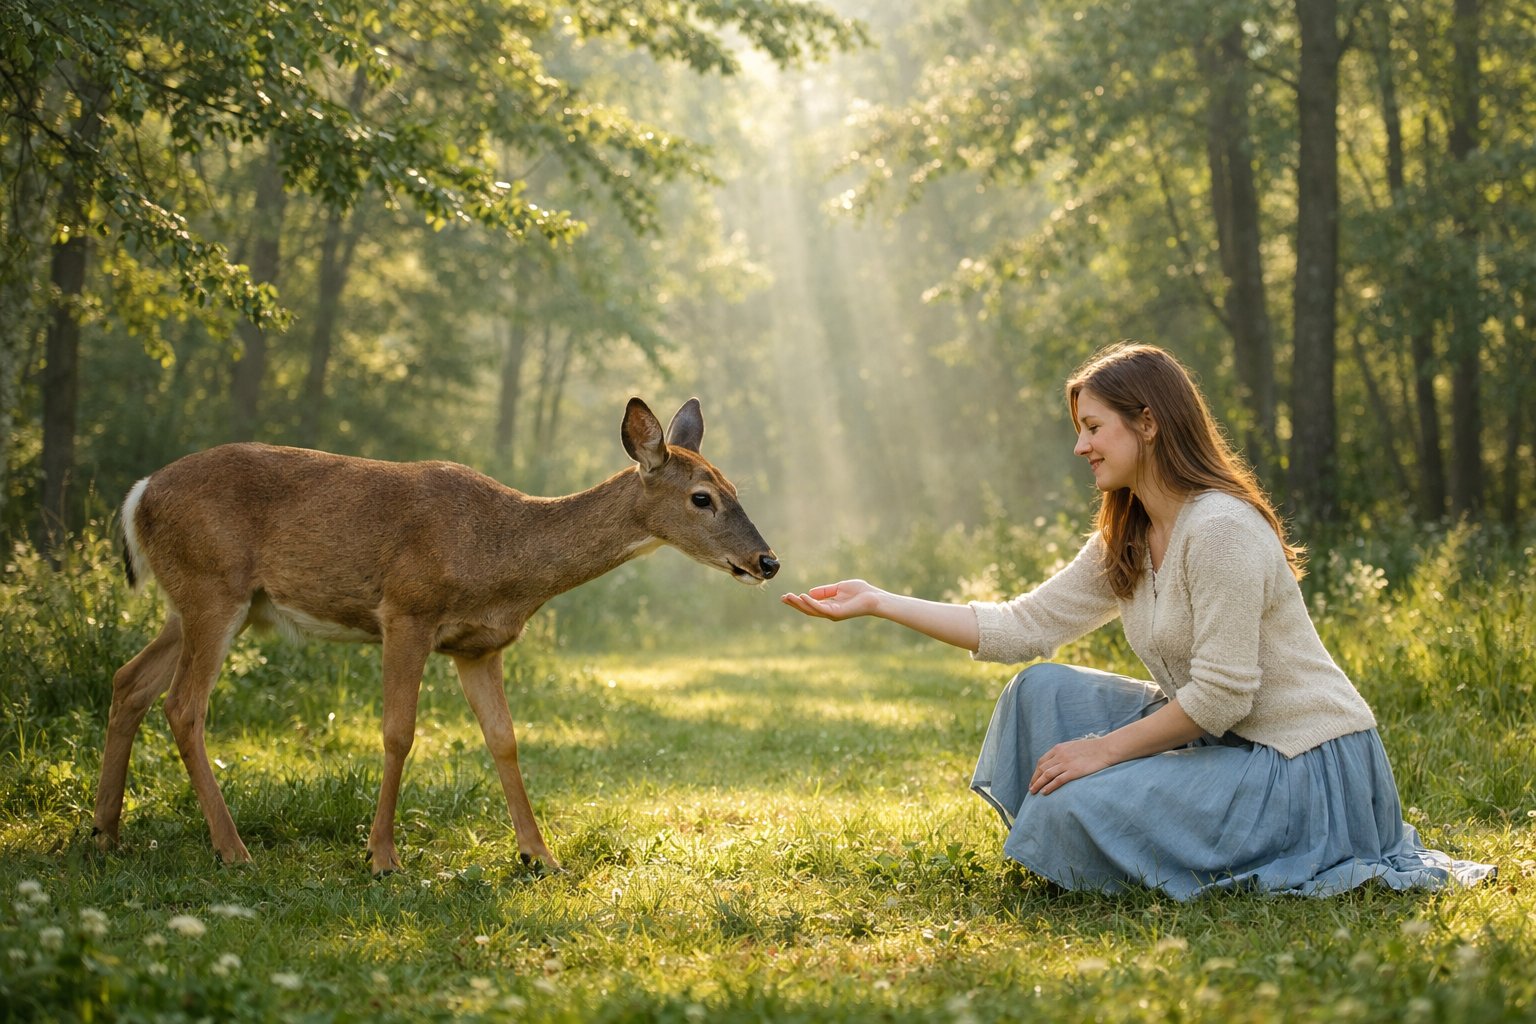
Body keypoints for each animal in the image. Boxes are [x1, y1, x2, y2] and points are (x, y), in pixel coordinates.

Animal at [92, 397, 778, 875]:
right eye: (702, 497)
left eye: (735, 489)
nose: (767, 561)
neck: (502, 556)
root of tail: (138, 495)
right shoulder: (406, 611)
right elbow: (399, 733)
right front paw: (382, 858)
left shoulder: (478, 647)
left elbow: (505, 740)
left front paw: (540, 856)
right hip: (213, 588)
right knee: (184, 705)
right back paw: (231, 849)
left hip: (196, 604)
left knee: (129, 680)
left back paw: (105, 834)